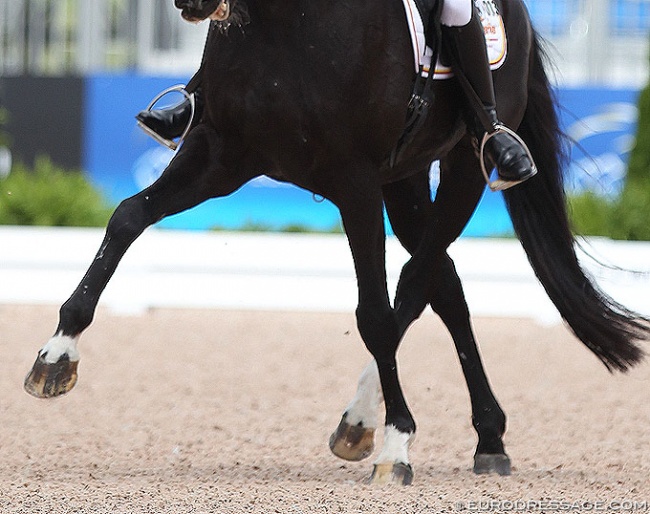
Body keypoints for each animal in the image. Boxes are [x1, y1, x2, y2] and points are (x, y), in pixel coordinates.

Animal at [22, 0, 644, 484]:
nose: (192, 4)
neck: (281, 22)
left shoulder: (355, 182)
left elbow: (374, 313)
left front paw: (397, 444)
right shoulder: (220, 152)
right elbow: (127, 218)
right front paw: (55, 355)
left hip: (465, 167)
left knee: (415, 279)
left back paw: (385, 422)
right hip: (404, 179)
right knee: (442, 281)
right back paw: (474, 435)